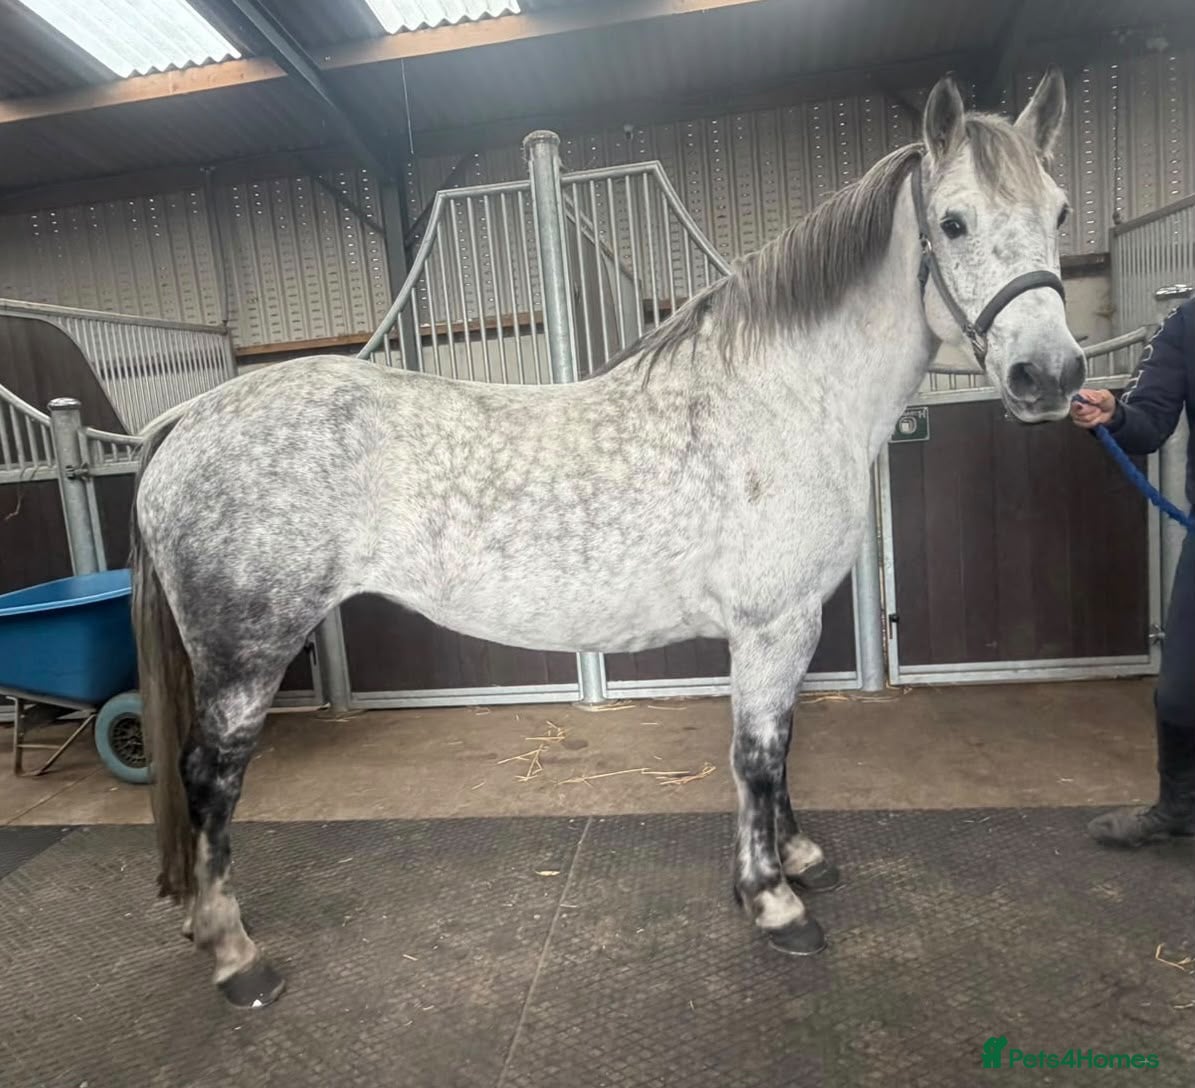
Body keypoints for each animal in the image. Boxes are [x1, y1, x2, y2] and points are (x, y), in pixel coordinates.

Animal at [131, 70, 1082, 1008]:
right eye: (953, 221)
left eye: (1061, 212)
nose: (1051, 375)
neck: (781, 399)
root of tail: (190, 416)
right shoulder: (773, 624)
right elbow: (756, 754)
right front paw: (771, 900)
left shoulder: (788, 625)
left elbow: (781, 747)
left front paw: (799, 858)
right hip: (247, 654)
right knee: (209, 777)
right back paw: (236, 954)